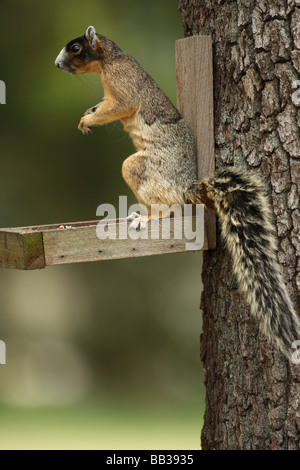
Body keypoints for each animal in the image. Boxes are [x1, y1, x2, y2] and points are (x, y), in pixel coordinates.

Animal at [55, 25, 300, 358]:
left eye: (76, 48)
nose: (57, 64)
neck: (109, 60)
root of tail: (185, 186)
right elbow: (101, 105)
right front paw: (88, 112)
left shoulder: (121, 83)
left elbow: (119, 106)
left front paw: (88, 118)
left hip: (144, 172)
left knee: (167, 207)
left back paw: (148, 218)